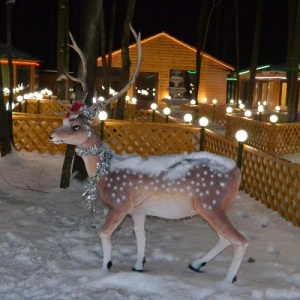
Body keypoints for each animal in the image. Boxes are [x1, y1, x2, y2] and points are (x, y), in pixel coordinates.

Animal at [49, 26, 248, 284]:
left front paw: (105, 267)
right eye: (65, 121)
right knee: (226, 238)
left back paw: (227, 280)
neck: (104, 170)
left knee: (240, 240)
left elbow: (104, 233)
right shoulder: (139, 210)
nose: (52, 135)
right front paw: (138, 265)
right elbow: (140, 234)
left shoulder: (120, 203)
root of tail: (237, 171)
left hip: (210, 203)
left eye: (76, 127)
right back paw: (197, 264)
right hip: (215, 206)